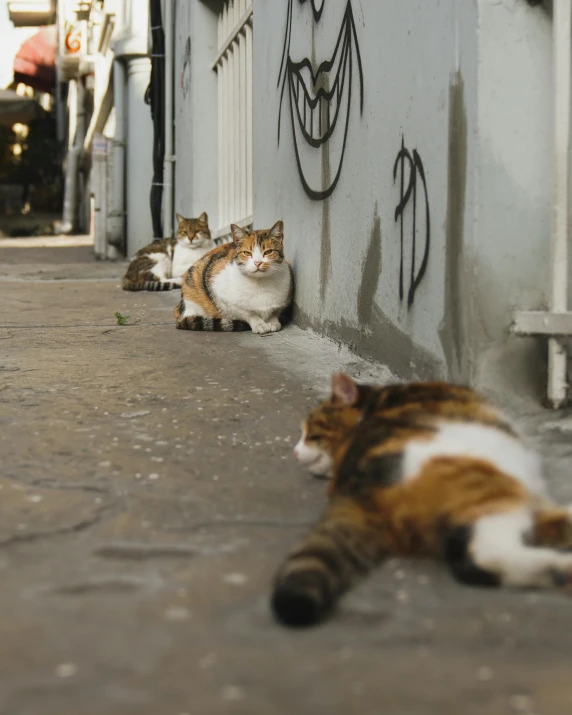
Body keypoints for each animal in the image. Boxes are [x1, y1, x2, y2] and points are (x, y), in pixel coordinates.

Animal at [270, 374, 572, 628]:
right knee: (478, 558)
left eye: (313, 435)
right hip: (491, 486)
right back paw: (562, 567)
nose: (295, 451)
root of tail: (361, 486)